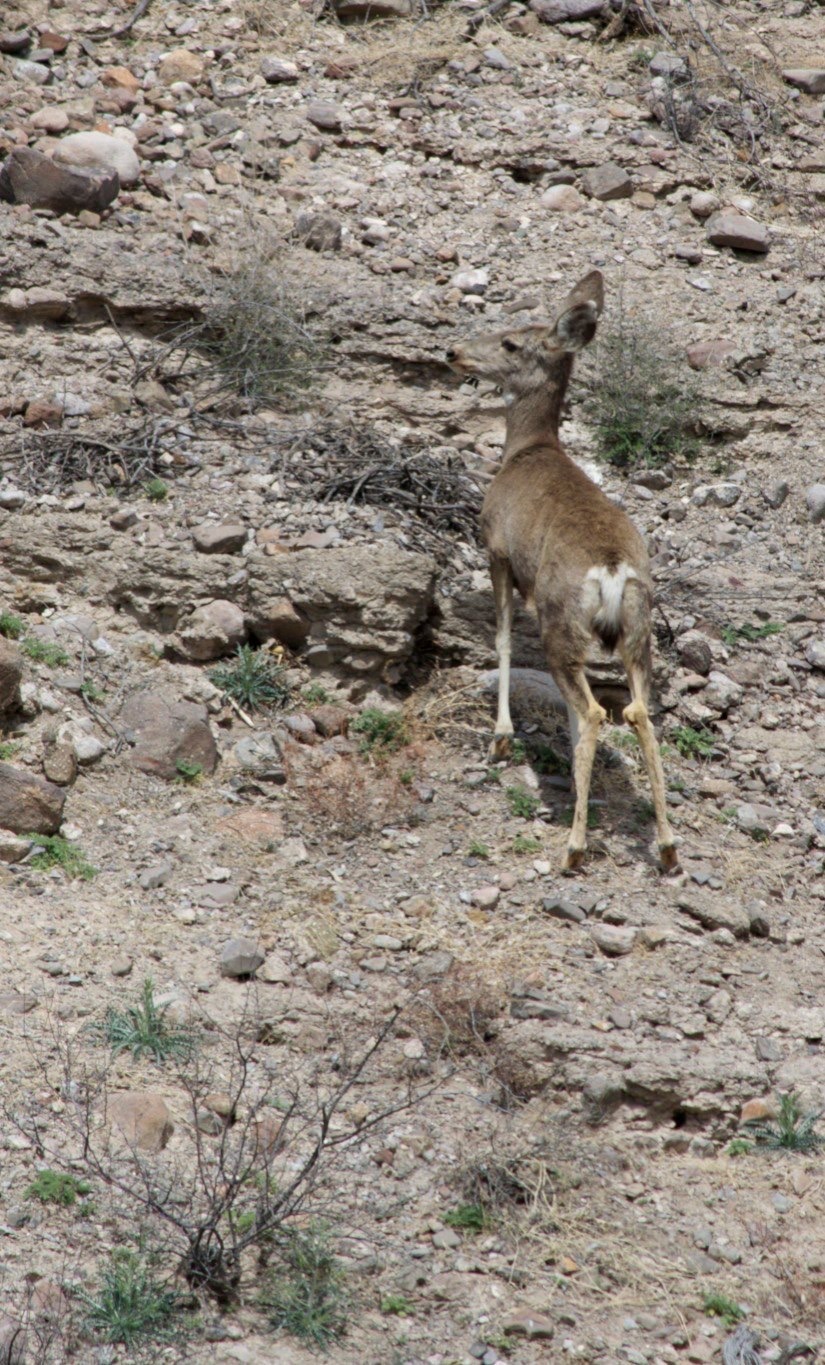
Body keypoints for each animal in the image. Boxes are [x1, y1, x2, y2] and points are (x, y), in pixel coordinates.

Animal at [446, 269, 679, 874]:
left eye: (509, 342)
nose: (454, 351)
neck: (527, 450)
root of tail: (612, 570)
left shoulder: (498, 551)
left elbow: (503, 640)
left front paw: (501, 737)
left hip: (560, 622)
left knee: (597, 711)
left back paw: (574, 848)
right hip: (637, 635)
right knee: (638, 712)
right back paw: (667, 846)